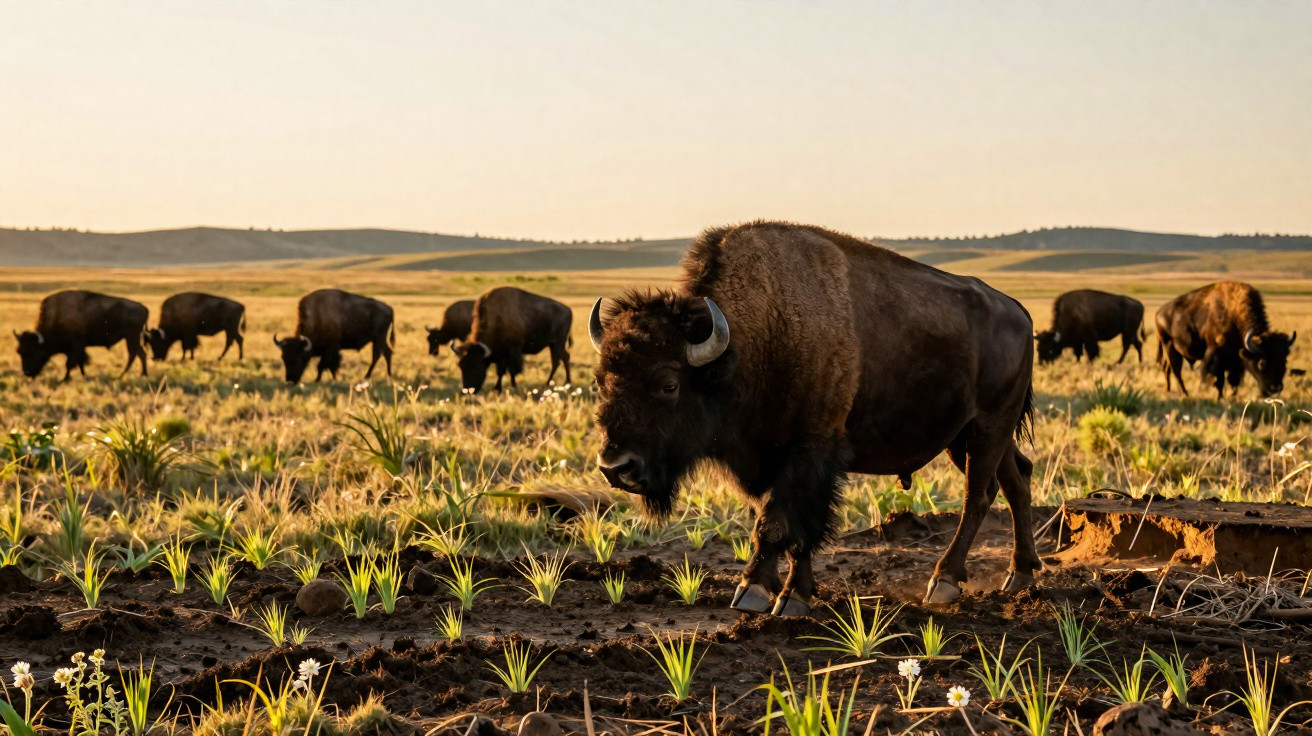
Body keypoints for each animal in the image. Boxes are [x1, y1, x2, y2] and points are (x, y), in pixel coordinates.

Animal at [13, 290, 149, 381]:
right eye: (19, 351)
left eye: (36, 351)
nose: (27, 372)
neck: (57, 315)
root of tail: (144, 308)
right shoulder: (77, 348)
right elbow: (80, 362)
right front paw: (83, 376)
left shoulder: (76, 345)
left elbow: (71, 363)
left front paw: (65, 379)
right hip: (133, 338)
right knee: (141, 354)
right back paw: (142, 374)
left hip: (131, 337)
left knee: (133, 355)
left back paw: (122, 375)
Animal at [589, 222, 1038, 614]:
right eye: (600, 379)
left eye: (668, 384)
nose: (615, 467)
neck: (757, 337)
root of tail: (1019, 311)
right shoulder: (771, 461)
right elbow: (789, 527)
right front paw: (790, 594)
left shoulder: (811, 453)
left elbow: (780, 524)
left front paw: (757, 592)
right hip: (967, 437)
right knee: (1015, 480)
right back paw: (1019, 576)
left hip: (988, 427)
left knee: (977, 495)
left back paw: (944, 581)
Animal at [1156, 280, 1295, 399]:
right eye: (1262, 363)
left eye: (1284, 361)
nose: (1275, 389)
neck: (1234, 316)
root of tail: (1159, 313)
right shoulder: (1216, 356)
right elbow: (1219, 380)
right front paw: (1219, 397)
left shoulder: (1237, 361)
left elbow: (1234, 381)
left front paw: (1232, 396)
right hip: (1169, 347)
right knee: (1176, 371)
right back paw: (1185, 393)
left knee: (1167, 367)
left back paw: (1169, 390)